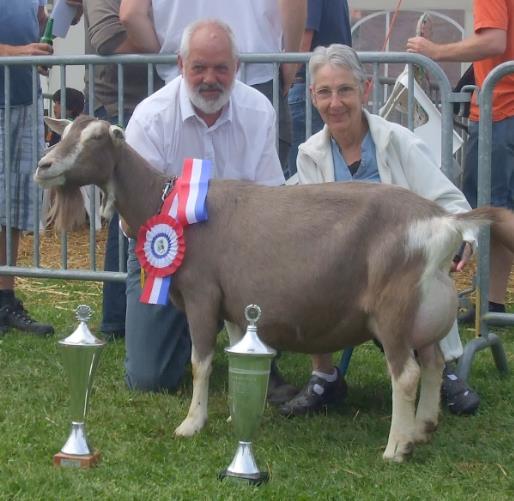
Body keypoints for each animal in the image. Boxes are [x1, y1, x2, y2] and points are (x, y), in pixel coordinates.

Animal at [35, 114, 504, 460]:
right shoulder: (233, 306)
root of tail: (444, 222)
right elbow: (234, 354)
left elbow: (200, 362)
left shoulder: (203, 296)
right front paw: (234, 415)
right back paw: (423, 429)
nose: (44, 166)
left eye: (96, 139)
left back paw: (396, 448)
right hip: (423, 316)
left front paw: (191, 424)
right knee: (433, 364)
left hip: (393, 310)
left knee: (405, 375)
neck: (163, 200)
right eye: (65, 132)